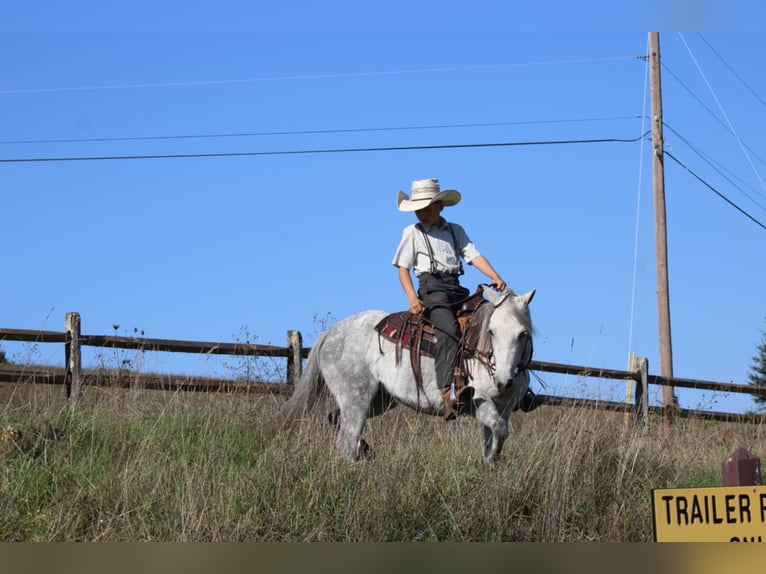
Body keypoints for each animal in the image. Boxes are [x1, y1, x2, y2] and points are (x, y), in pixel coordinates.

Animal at [272, 288, 536, 464]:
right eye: (491, 331)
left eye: (523, 333)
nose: (502, 381)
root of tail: (330, 334)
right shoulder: (478, 401)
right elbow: (500, 430)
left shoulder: (503, 408)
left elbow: (494, 436)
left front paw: (489, 465)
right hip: (356, 399)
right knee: (346, 440)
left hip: (379, 401)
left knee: (337, 420)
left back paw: (365, 450)